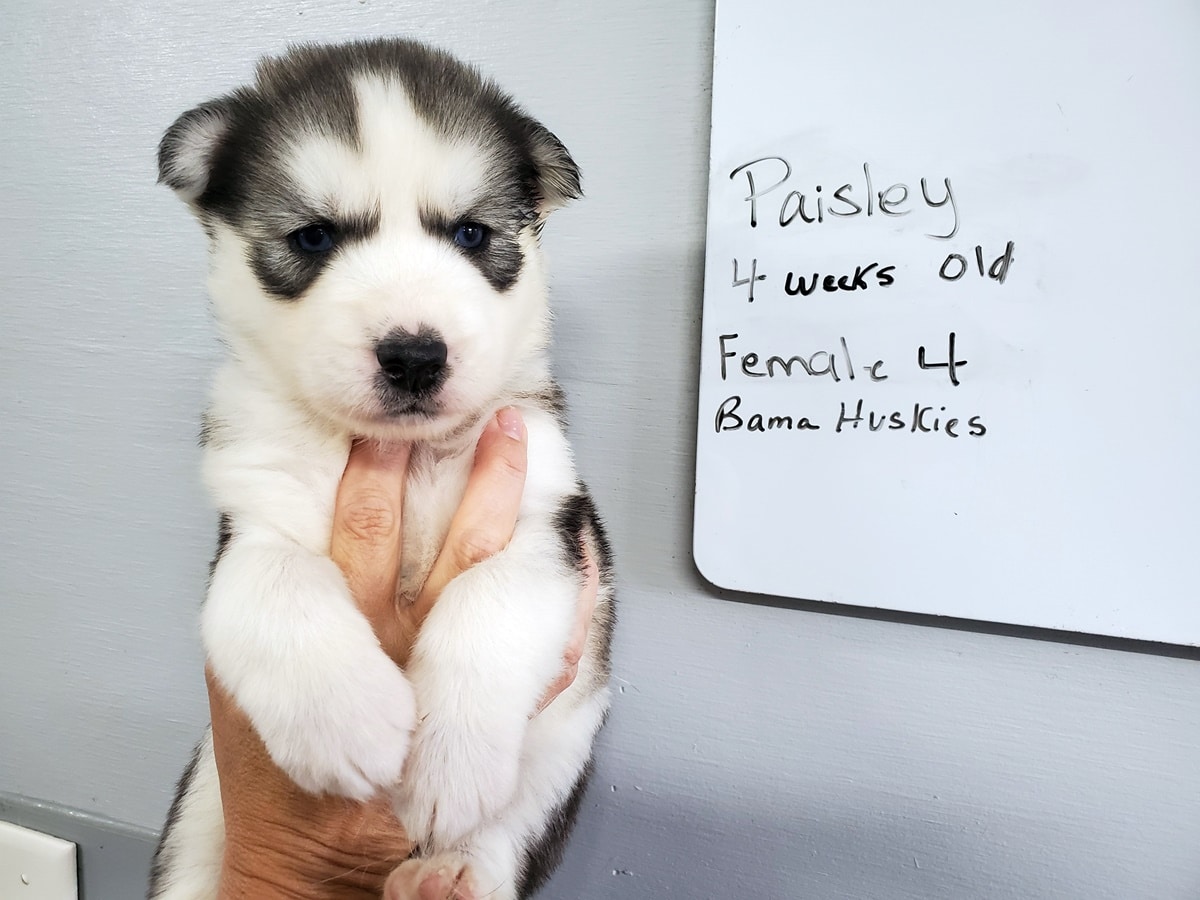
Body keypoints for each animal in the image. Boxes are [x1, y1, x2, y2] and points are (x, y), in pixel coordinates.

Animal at [146, 38, 614, 900]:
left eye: (470, 234)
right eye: (313, 238)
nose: (415, 356)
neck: (412, 455)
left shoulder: (546, 518)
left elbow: (487, 600)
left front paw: (450, 757)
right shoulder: (251, 513)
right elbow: (275, 582)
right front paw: (346, 717)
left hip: (562, 762)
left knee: (505, 837)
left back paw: (448, 871)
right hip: (197, 814)